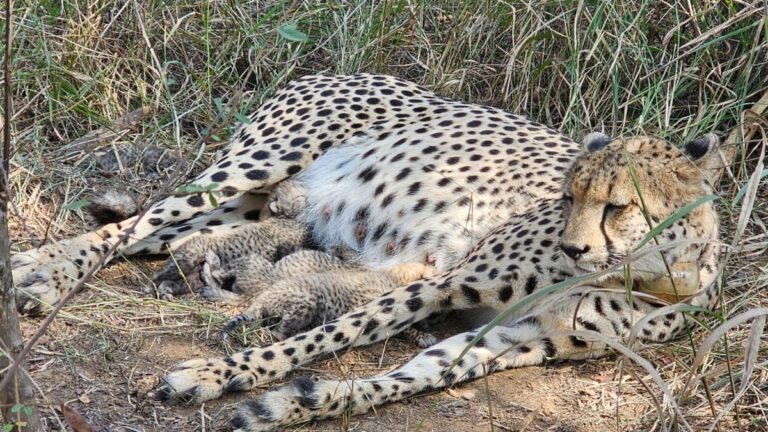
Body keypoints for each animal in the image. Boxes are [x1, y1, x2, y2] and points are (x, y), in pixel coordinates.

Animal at [9, 74, 725, 431]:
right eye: (569, 195)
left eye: (618, 206)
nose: (574, 246)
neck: (649, 275)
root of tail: (331, 68)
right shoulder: (445, 282)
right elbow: (332, 334)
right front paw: (217, 373)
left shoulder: (518, 339)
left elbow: (403, 377)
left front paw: (292, 405)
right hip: (254, 167)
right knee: (134, 224)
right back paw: (40, 273)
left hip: (251, 207)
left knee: (168, 237)